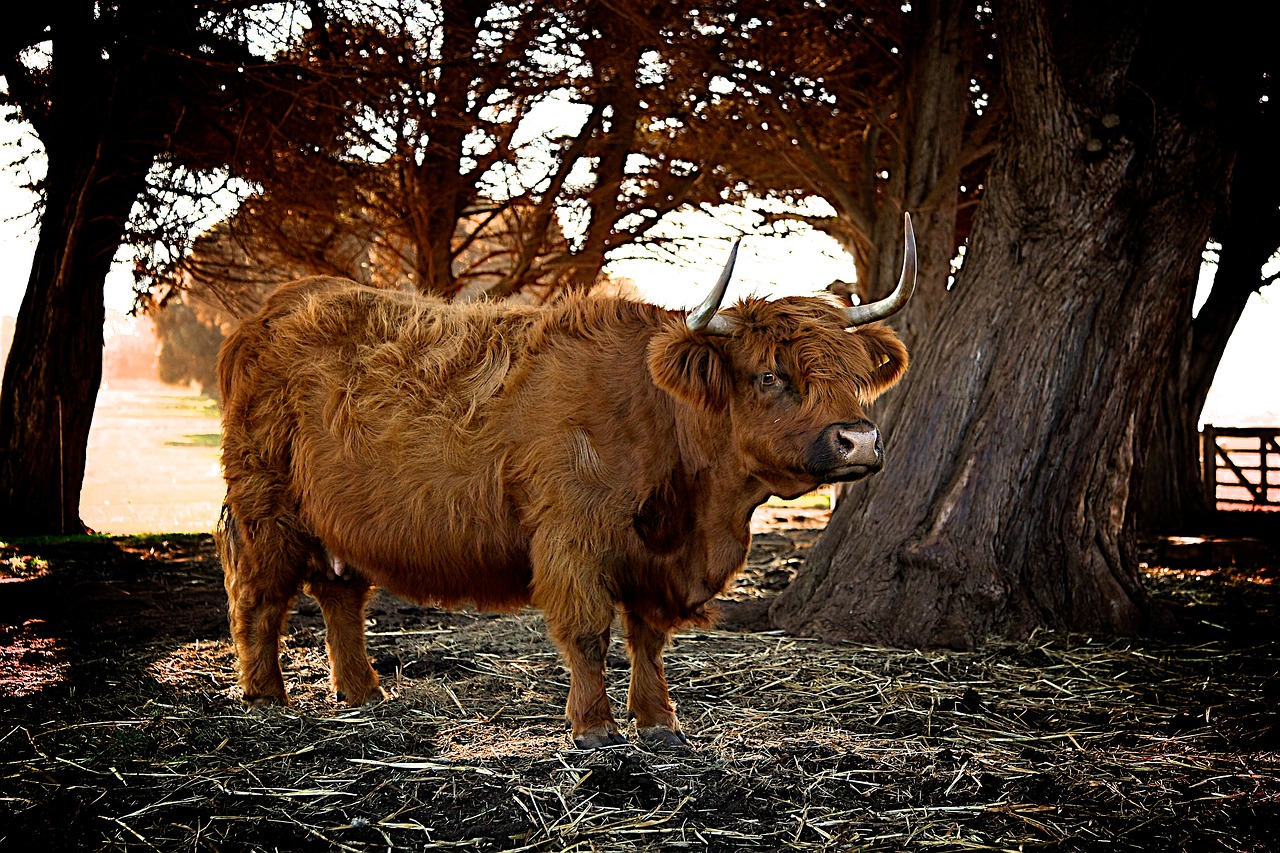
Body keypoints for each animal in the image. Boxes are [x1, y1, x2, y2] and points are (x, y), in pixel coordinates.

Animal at [222, 216, 921, 747]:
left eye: (854, 373)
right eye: (769, 374)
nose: (860, 441)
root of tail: (280, 305)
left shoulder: (653, 560)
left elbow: (649, 639)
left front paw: (660, 722)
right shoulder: (574, 535)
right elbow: (588, 632)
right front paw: (594, 728)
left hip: (334, 517)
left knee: (340, 593)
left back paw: (363, 693)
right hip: (266, 504)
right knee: (259, 596)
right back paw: (264, 696)